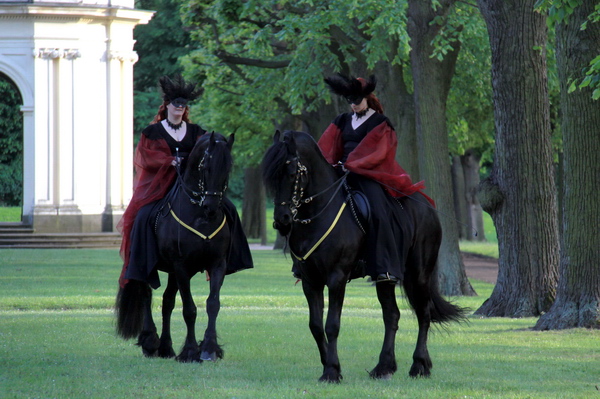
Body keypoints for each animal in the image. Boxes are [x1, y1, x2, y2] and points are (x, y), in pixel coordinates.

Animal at [117, 133, 237, 364]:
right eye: (205, 166)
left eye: (228, 167)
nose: (211, 207)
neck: (199, 216)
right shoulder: (181, 266)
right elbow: (189, 309)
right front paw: (190, 351)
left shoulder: (217, 264)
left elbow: (213, 303)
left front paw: (209, 348)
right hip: (146, 265)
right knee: (147, 295)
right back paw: (150, 341)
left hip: (173, 272)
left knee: (167, 302)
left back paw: (166, 347)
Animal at [264, 131, 468, 384]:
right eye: (271, 177)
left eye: (292, 174)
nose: (281, 221)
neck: (318, 213)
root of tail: (427, 205)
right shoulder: (311, 280)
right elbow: (315, 325)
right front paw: (330, 366)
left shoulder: (337, 278)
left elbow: (332, 324)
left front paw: (332, 370)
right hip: (385, 277)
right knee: (392, 315)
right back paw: (384, 367)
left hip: (418, 273)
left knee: (424, 313)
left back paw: (419, 365)